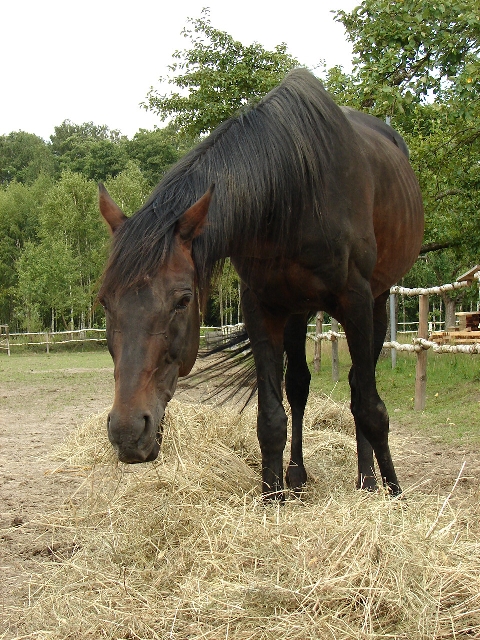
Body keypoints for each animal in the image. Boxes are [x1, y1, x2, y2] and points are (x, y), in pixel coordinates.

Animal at [97, 70, 424, 500]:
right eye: (105, 303)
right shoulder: (261, 306)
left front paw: (394, 491)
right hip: (298, 309)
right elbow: (270, 416)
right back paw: (298, 477)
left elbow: (370, 407)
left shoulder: (355, 300)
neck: (294, 192)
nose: (128, 432)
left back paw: (367, 479)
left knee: (357, 386)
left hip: (377, 300)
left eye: (183, 301)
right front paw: (272, 496)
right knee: (299, 386)